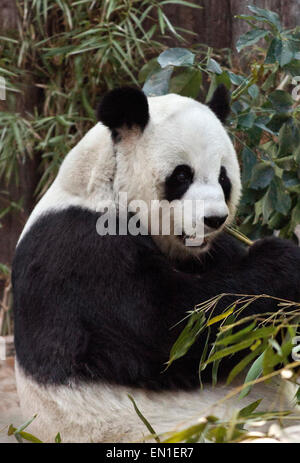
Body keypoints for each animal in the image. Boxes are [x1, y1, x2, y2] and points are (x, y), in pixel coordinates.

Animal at [11, 85, 300, 444]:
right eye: (182, 175)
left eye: (223, 178)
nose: (214, 219)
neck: (103, 185)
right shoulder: (81, 251)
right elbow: (170, 328)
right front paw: (283, 259)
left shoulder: (212, 251)